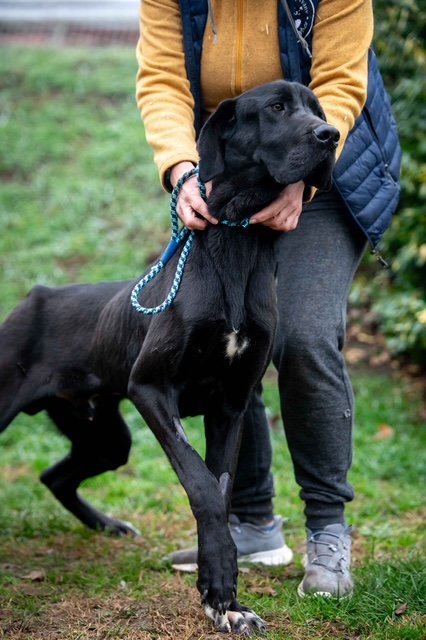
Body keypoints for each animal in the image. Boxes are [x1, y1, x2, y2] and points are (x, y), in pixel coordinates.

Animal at [0, 80, 338, 633]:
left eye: (318, 109)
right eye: (276, 107)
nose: (331, 135)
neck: (238, 239)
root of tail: (33, 297)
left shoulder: (231, 405)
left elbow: (219, 491)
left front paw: (224, 599)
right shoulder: (151, 389)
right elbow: (201, 486)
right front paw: (220, 591)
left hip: (104, 436)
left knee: (55, 476)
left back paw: (108, 525)